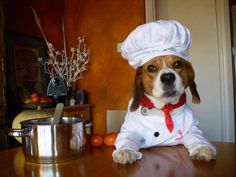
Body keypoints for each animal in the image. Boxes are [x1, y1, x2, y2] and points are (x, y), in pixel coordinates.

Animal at [112, 19, 216, 165]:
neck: (164, 108)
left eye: (178, 64)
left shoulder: (193, 128)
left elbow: (197, 137)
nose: (168, 77)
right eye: (151, 67)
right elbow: (128, 139)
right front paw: (125, 151)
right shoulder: (129, 131)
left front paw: (202, 148)